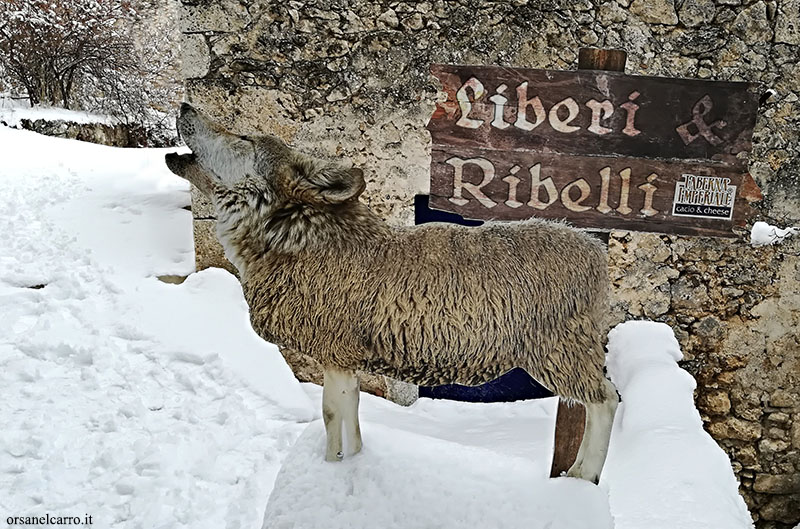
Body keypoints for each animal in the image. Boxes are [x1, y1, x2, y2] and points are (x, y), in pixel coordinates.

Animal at [166, 102, 620, 482]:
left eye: (244, 139)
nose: (185, 105)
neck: (302, 244)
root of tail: (596, 250)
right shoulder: (347, 359)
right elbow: (351, 416)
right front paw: (353, 461)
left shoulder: (334, 350)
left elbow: (330, 415)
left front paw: (330, 469)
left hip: (559, 350)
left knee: (606, 401)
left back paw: (583, 477)